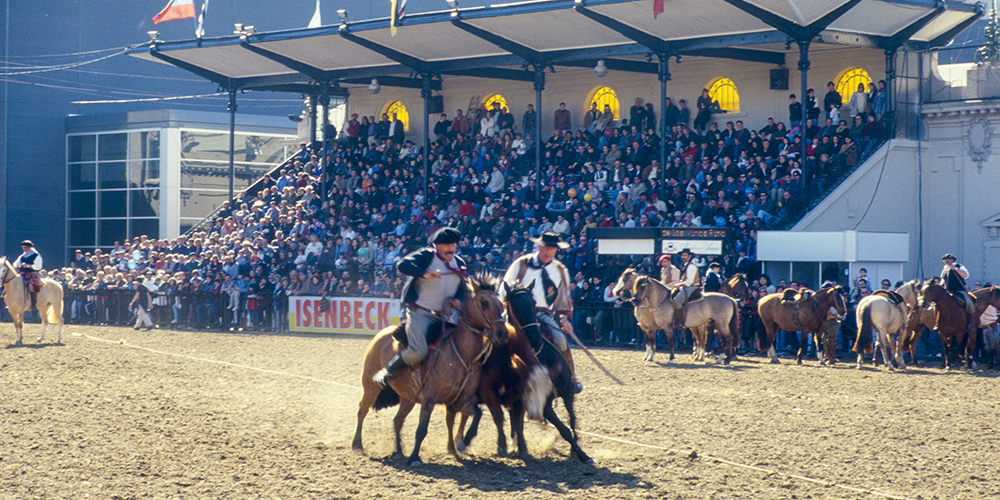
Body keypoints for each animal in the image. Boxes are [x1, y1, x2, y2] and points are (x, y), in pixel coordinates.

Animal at [352, 274, 508, 464]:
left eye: (501, 304)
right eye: (484, 302)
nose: (502, 334)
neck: (461, 352)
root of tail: (381, 335)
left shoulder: (463, 398)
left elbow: (475, 414)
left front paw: (462, 442)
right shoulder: (429, 399)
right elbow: (422, 429)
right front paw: (414, 457)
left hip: (408, 398)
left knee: (397, 420)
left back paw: (399, 451)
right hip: (370, 387)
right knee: (362, 410)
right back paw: (357, 445)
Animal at [456, 282, 556, 460]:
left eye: (533, 303)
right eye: (516, 305)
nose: (534, 337)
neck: (505, 358)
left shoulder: (521, 395)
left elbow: (518, 422)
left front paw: (522, 448)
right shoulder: (487, 392)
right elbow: (498, 416)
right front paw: (502, 445)